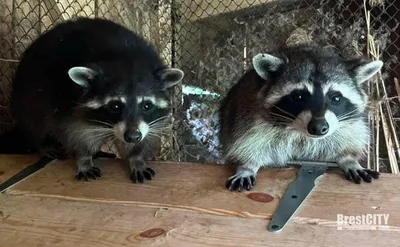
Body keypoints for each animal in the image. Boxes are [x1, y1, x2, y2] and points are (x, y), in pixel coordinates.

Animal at [219, 44, 384, 191]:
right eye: (298, 97)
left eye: (336, 98)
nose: (319, 127)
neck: (300, 133)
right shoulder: (249, 116)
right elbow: (246, 141)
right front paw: (247, 165)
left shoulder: (350, 121)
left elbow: (350, 137)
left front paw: (349, 159)